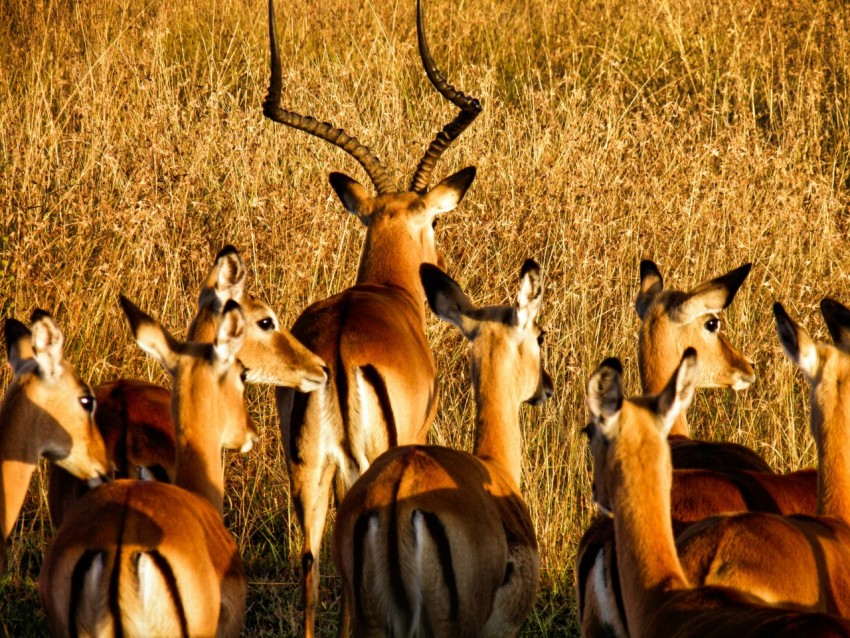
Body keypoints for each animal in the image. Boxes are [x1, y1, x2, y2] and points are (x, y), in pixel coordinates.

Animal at [262, 0, 482, 633]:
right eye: (432, 220)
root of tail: (337, 355)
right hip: (370, 464)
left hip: (306, 471)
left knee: (312, 565)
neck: (385, 291)